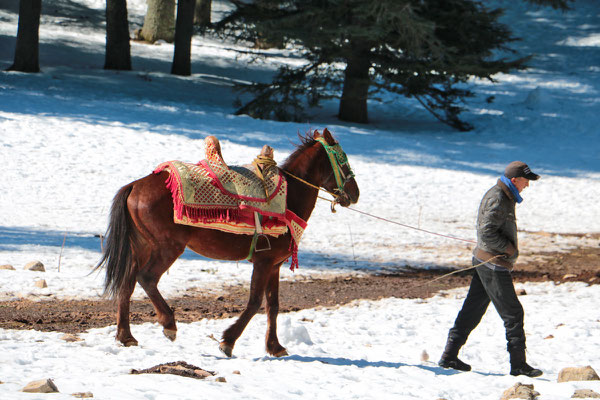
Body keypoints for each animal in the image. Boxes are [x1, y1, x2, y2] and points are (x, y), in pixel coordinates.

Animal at [93, 128, 356, 356]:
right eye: (343, 161)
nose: (355, 193)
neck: (289, 199)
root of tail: (135, 185)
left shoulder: (274, 265)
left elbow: (273, 305)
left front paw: (275, 346)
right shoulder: (263, 262)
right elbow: (254, 302)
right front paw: (228, 341)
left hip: (143, 246)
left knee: (127, 283)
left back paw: (126, 336)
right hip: (167, 247)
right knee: (146, 278)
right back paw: (169, 324)